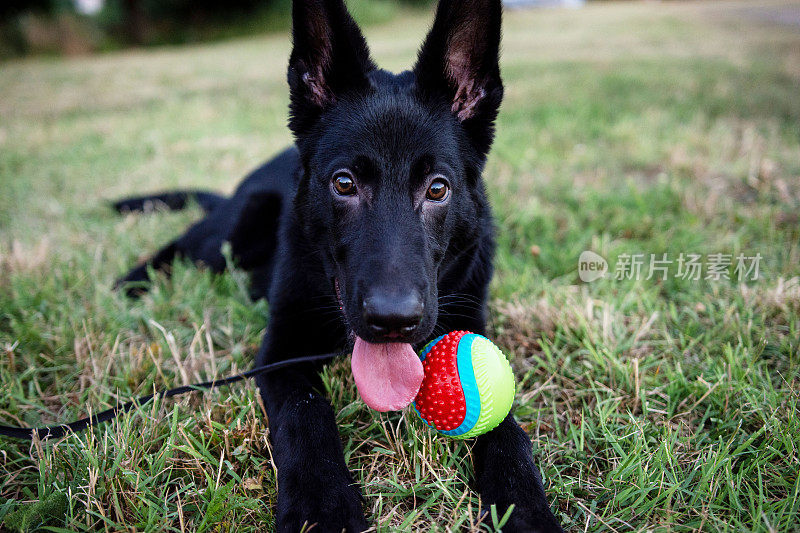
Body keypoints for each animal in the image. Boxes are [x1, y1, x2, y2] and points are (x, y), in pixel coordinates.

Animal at [114, 0, 564, 528]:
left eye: (437, 188)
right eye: (344, 183)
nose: (393, 320)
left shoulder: (472, 325)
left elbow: (507, 429)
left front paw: (525, 504)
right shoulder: (283, 352)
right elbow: (305, 413)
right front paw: (322, 503)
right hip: (233, 229)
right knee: (180, 245)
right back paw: (130, 283)